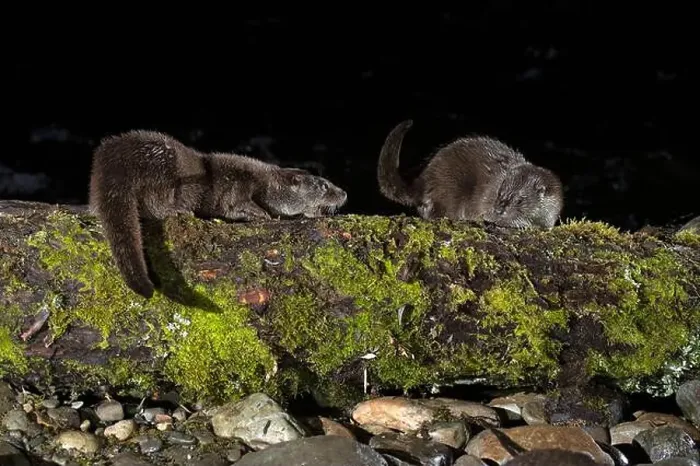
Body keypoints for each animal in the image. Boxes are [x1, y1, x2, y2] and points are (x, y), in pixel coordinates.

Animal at [89, 130, 347, 299]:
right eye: (324, 185)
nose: (344, 193)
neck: (267, 184)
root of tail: (111, 160)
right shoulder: (238, 182)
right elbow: (235, 204)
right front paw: (260, 213)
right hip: (162, 170)